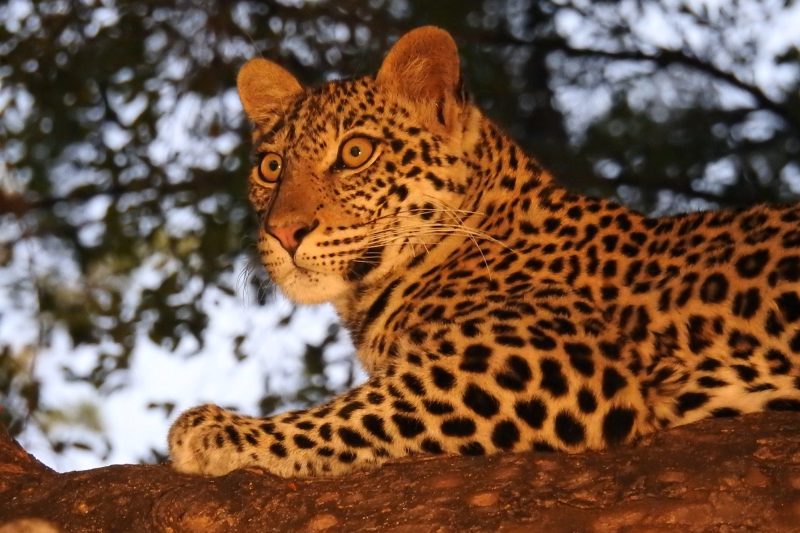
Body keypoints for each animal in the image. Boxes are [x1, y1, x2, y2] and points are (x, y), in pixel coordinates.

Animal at [168, 26, 800, 478]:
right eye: (271, 166)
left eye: (355, 153)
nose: (284, 232)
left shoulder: (552, 359)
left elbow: (364, 408)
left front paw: (217, 430)